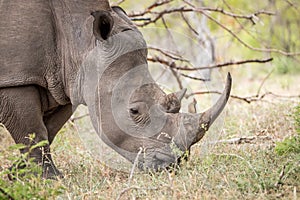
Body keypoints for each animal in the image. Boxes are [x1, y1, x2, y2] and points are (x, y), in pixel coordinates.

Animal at [0, 0, 232, 178]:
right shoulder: (16, 79)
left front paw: (17, 175)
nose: (172, 165)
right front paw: (50, 180)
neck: (81, 40)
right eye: (134, 111)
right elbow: (34, 131)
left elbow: (47, 130)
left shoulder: (66, 83)